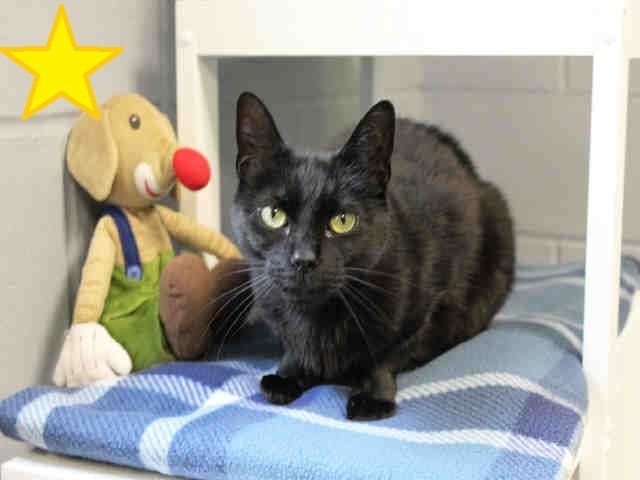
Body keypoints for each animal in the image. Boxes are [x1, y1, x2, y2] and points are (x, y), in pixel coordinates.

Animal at [230, 92, 514, 420]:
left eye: (342, 221)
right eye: (273, 215)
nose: (303, 258)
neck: (315, 318)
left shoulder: (433, 307)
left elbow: (385, 356)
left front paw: (371, 396)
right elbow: (293, 351)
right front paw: (287, 375)